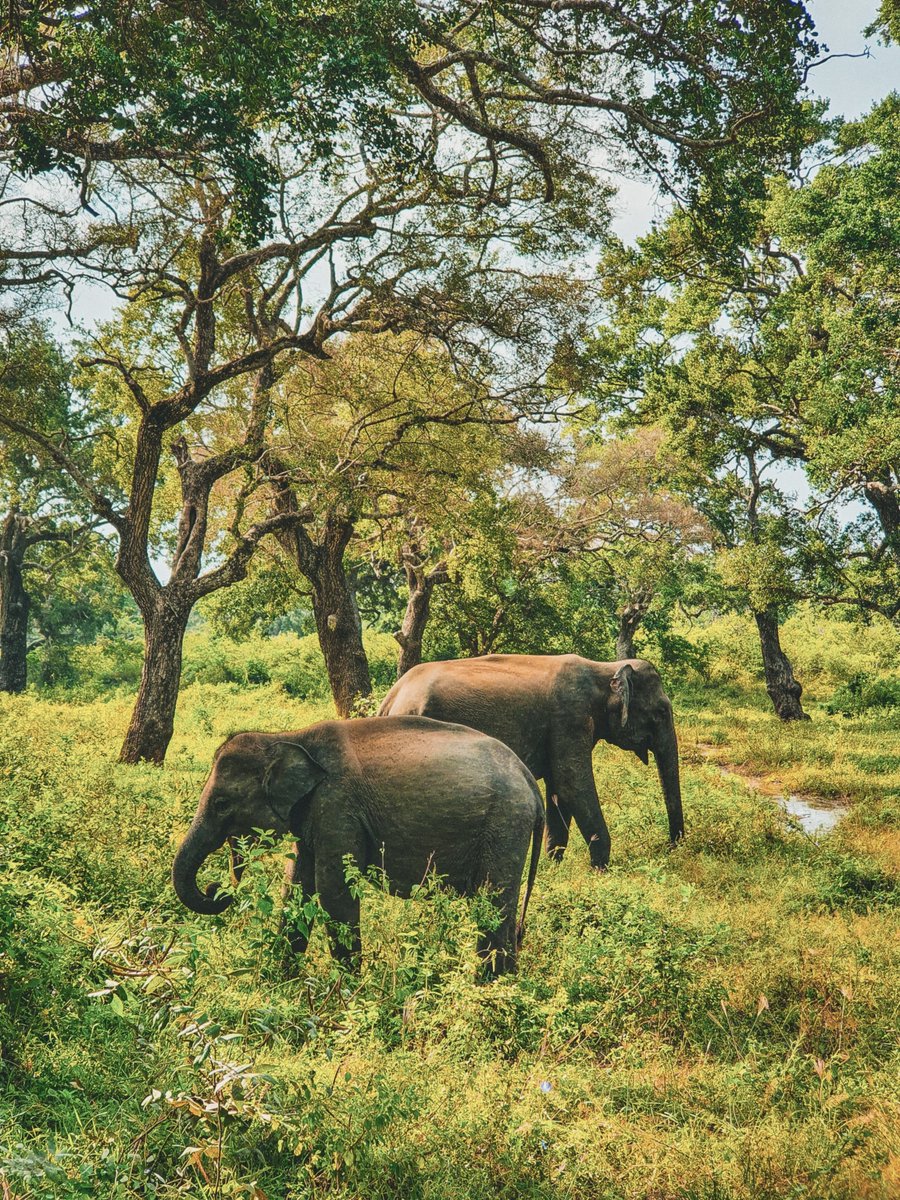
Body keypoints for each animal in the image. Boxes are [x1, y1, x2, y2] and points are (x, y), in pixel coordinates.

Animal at [172, 716, 545, 975]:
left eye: (221, 804)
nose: (217, 887)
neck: (288, 737)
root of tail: (529, 780)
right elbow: (296, 888)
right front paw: (280, 983)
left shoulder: (337, 806)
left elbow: (334, 891)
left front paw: (345, 995)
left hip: (504, 825)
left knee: (492, 903)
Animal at [378, 655, 683, 870]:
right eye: (661, 712)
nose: (671, 846)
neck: (605, 669)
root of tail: (391, 698)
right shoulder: (569, 719)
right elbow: (572, 782)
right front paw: (601, 870)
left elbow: (559, 790)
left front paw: (554, 865)